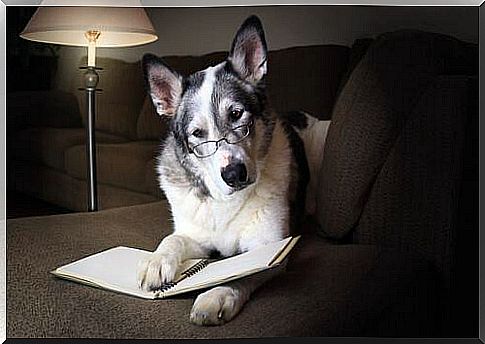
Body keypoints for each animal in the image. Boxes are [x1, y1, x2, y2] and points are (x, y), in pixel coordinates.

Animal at [138, 14, 330, 326]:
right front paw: (156, 260)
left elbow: (245, 270)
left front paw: (218, 294)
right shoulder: (196, 237)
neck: (224, 201)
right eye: (197, 134)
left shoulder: (270, 247)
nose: (234, 175)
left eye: (237, 114)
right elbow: (173, 239)